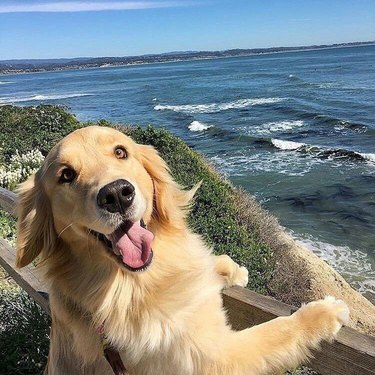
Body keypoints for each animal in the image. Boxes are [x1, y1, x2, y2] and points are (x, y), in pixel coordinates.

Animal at [14, 127, 350, 375]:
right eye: (66, 175)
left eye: (121, 152)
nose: (117, 195)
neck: (139, 282)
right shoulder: (215, 359)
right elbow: (277, 330)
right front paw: (323, 313)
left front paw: (230, 269)